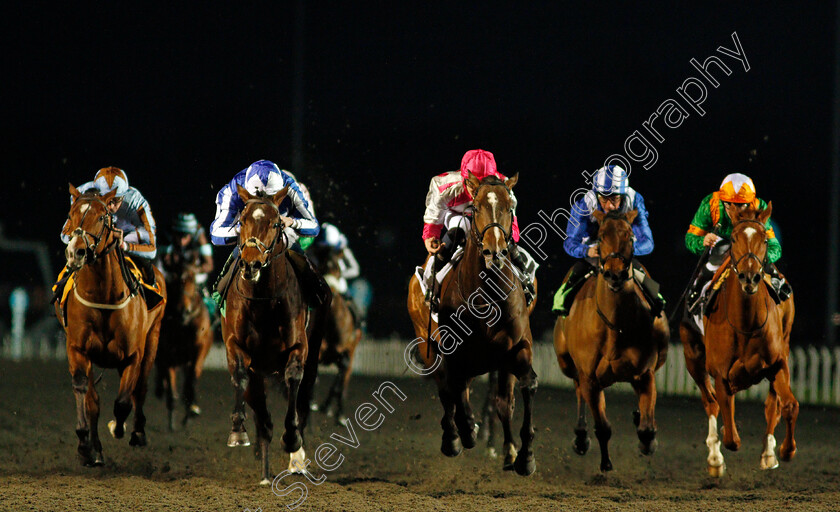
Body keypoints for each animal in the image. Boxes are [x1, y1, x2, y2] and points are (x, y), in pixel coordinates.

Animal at [56, 185, 166, 468]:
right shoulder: (77, 349)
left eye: (101, 217)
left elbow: (124, 401)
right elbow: (84, 391)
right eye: (71, 214)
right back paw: (95, 449)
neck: (103, 295)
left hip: (153, 339)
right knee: (94, 398)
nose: (76, 252)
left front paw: (118, 428)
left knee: (141, 388)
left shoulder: (133, 355)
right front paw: (85, 444)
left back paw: (137, 432)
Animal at [221, 185, 326, 484]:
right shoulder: (236, 347)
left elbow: (293, 381)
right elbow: (240, 377)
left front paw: (292, 440)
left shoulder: (299, 348)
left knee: (302, 401)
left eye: (276, 223)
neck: (263, 301)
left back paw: (296, 461)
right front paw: (237, 432)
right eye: (241, 220)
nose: (251, 265)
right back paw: (265, 472)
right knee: (263, 417)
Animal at [406, 173, 540, 476]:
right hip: (428, 343)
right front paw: (463, 432)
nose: (495, 251)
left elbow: (523, 388)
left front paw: (523, 455)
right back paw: (454, 437)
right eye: (476, 208)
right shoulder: (453, 351)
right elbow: (454, 389)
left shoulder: (517, 348)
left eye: (509, 207)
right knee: (447, 388)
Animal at [552, 208, 668, 472]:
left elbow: (647, 429)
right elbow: (602, 427)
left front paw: (648, 440)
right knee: (577, 388)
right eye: (601, 236)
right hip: (566, 363)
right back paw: (581, 437)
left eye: (630, 236)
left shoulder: (645, 372)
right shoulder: (590, 378)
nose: (615, 275)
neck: (615, 328)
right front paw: (605, 463)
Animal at [680, 202, 796, 478]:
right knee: (711, 404)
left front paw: (785, 450)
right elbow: (731, 436)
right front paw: (718, 451)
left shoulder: (778, 363)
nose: (750, 277)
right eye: (733, 238)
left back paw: (768, 452)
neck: (746, 323)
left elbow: (788, 405)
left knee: (771, 404)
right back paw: (714, 458)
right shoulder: (719, 371)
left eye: (764, 238)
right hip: (693, 358)